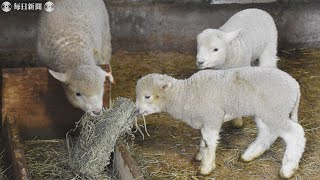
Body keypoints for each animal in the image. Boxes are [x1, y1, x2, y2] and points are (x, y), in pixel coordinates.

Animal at [135, 67, 304, 179]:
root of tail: (295, 86)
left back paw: (288, 169)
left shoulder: (212, 117)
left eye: (147, 96)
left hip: (275, 111)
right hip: (266, 113)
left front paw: (206, 168)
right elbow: (203, 140)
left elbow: (209, 142)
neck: (186, 95)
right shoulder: (204, 119)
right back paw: (249, 155)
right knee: (267, 133)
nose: (136, 110)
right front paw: (199, 155)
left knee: (295, 134)